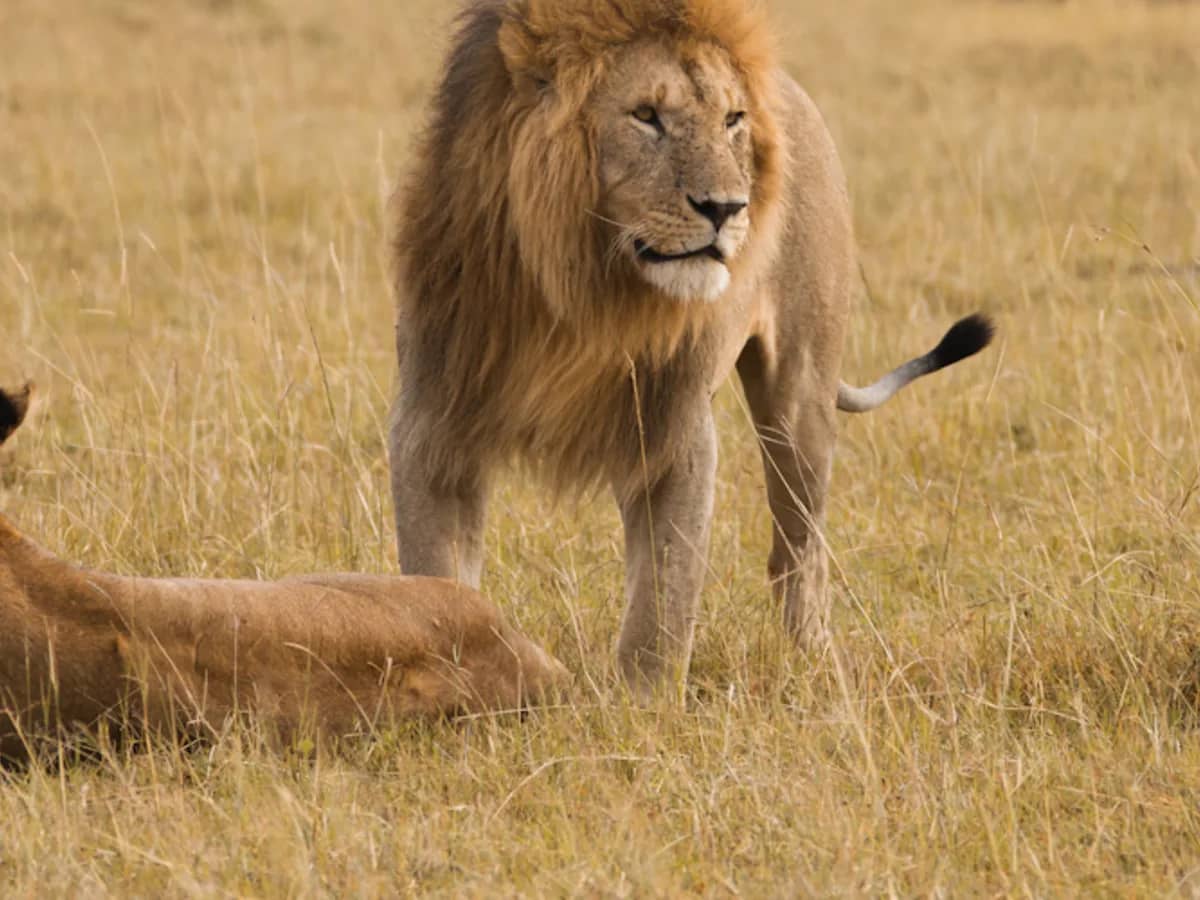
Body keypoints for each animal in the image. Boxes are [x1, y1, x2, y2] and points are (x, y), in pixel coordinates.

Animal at [388, 0, 994, 691]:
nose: (727, 207)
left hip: (800, 399)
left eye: (731, 120)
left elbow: (663, 598)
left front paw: (641, 709)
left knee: (799, 548)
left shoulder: (674, 428)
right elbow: (435, 576)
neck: (579, 291)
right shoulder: (434, 421)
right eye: (646, 116)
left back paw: (814, 661)